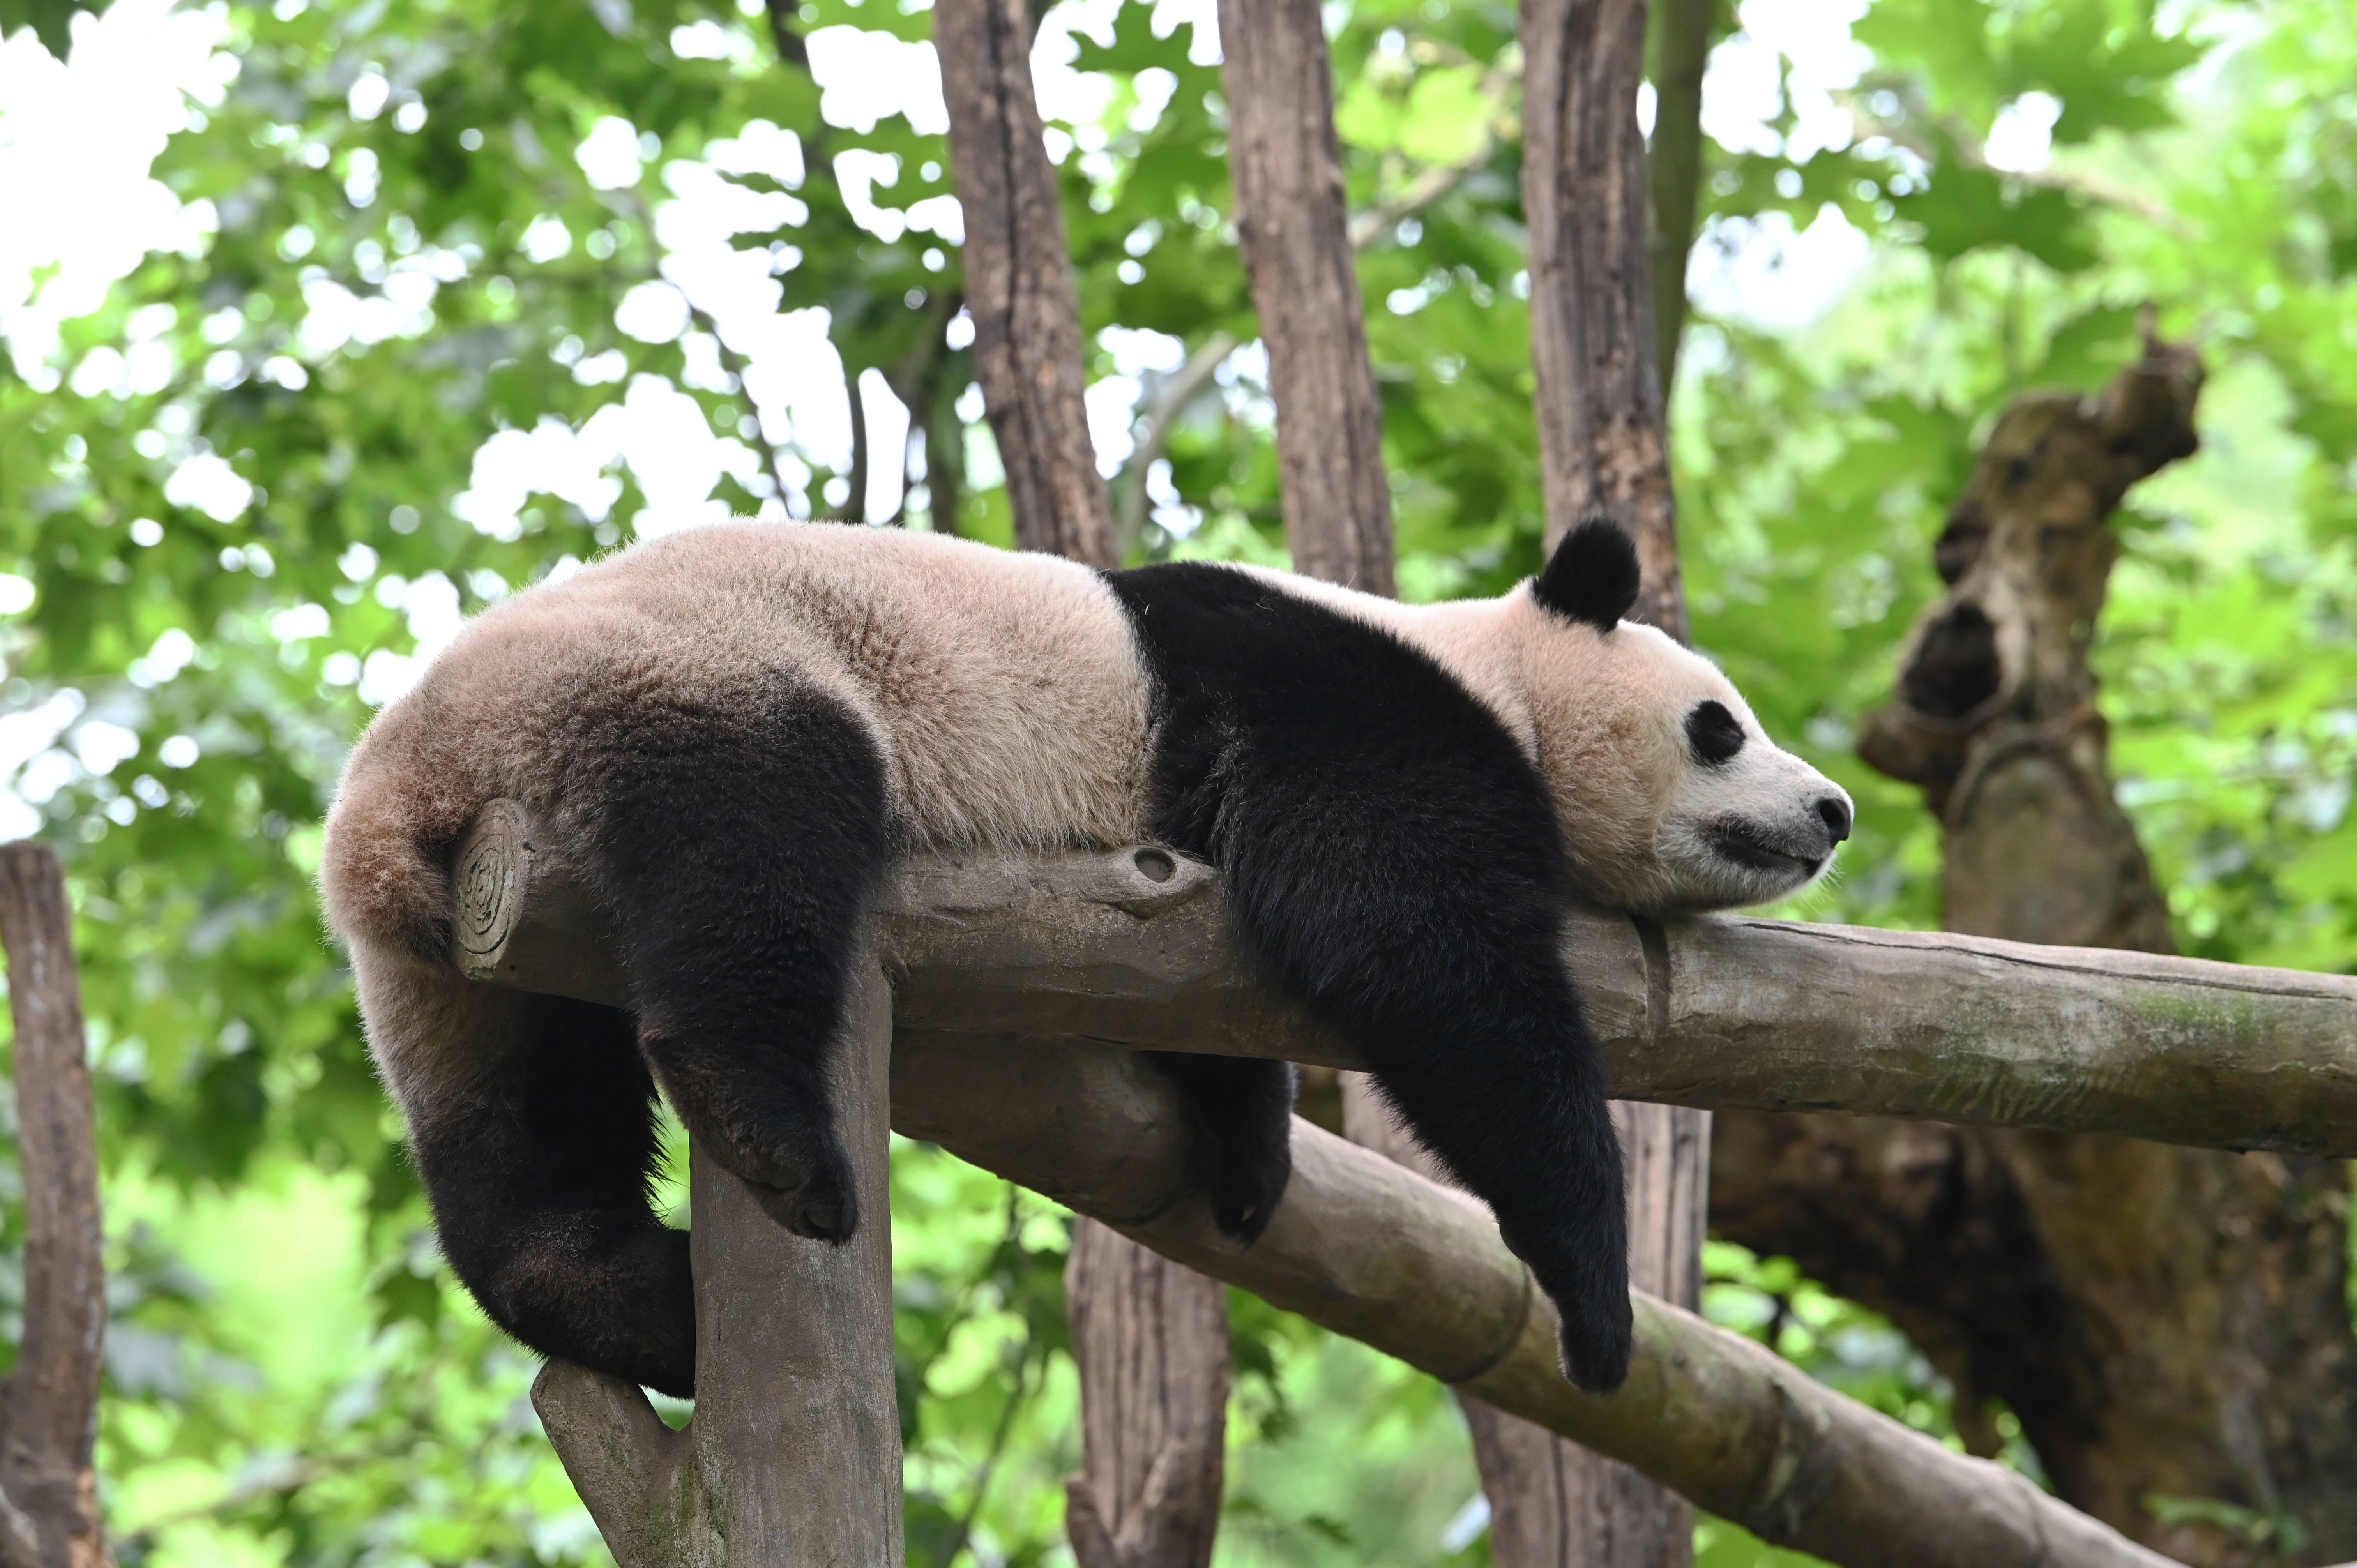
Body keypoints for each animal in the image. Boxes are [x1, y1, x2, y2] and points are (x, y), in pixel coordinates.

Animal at [323, 519, 1848, 1396]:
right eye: (1720, 725)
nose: (1831, 809)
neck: (1493, 667)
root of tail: (387, 816)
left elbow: (1229, 994)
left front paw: (1244, 1157)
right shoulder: (1330, 697)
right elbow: (1420, 944)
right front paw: (1594, 1303)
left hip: (476, 958)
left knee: (520, 1125)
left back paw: (625, 1296)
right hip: (677, 674)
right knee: (754, 837)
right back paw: (773, 1139)